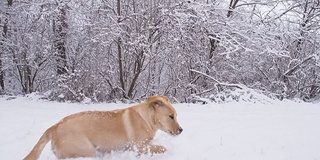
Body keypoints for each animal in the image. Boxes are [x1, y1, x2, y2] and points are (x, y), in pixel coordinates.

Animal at [23, 95, 182, 159]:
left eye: (176, 115)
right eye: (171, 116)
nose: (181, 130)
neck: (147, 119)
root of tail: (54, 127)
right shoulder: (139, 147)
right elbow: (162, 148)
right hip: (87, 151)